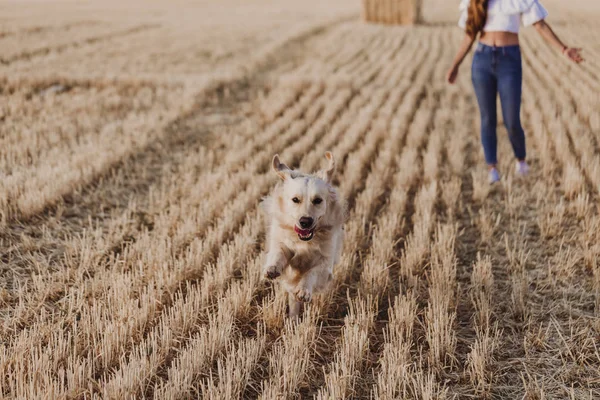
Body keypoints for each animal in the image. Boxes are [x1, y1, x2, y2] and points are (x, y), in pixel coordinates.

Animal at [260, 152, 344, 318]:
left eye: (318, 200)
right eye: (295, 200)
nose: (305, 221)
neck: (305, 242)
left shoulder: (326, 263)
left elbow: (312, 272)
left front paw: (304, 290)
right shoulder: (283, 244)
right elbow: (279, 253)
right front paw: (272, 268)